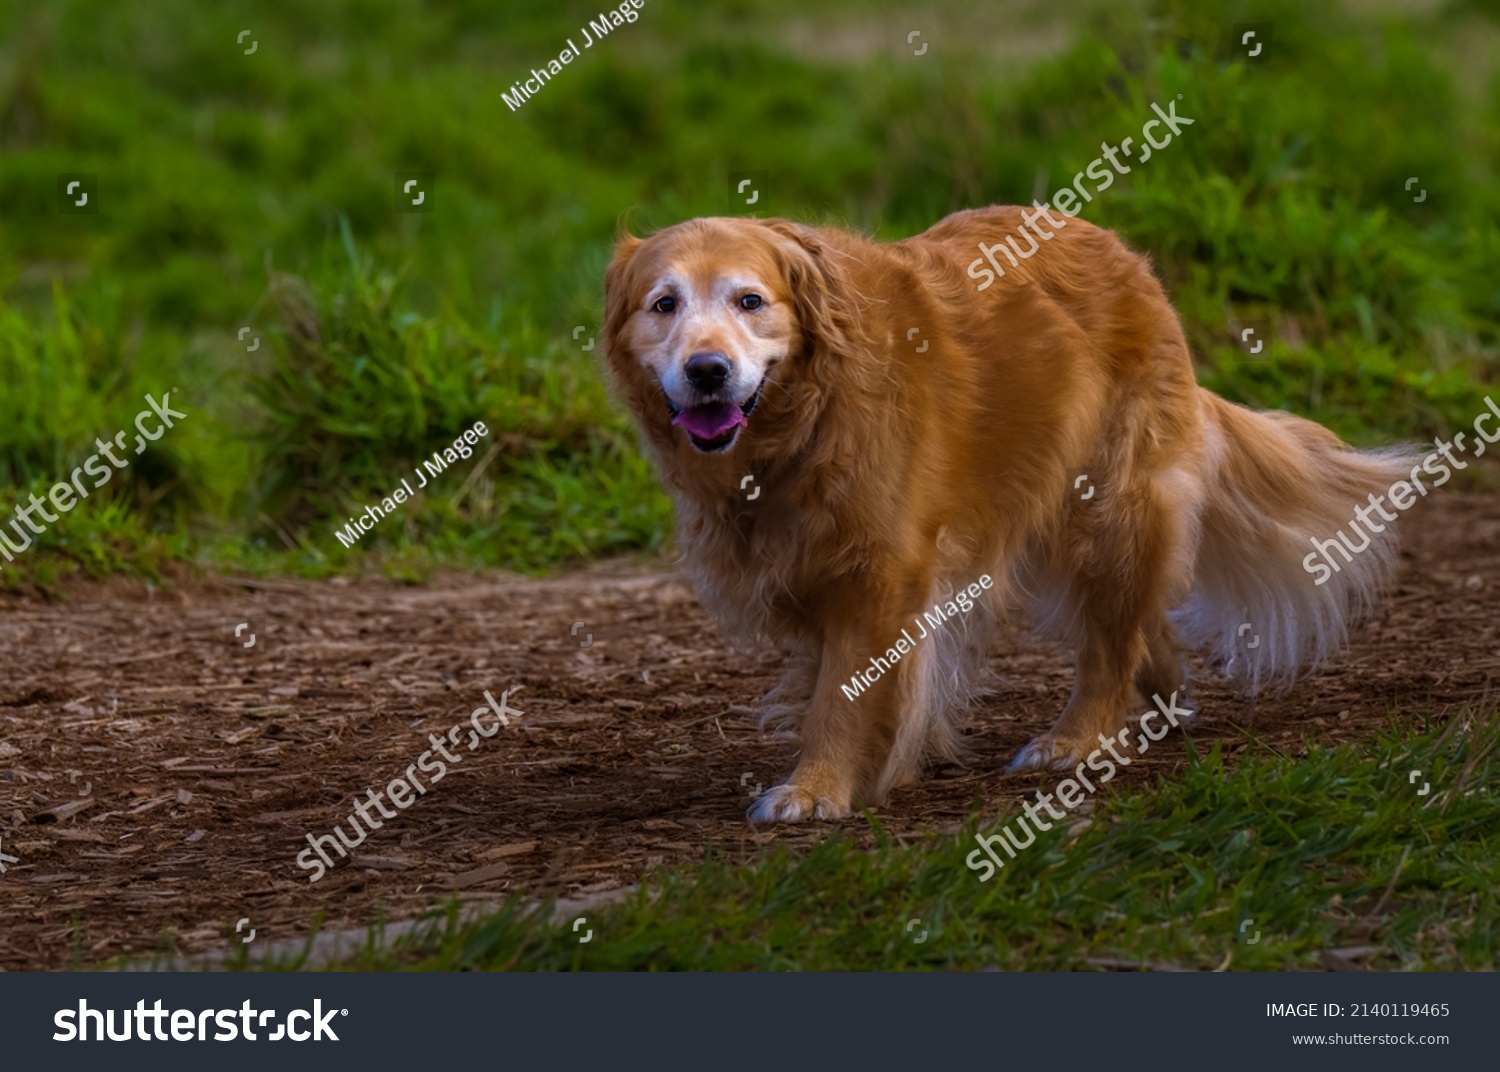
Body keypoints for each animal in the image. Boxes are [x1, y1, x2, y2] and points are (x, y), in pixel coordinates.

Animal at [600, 211, 1416, 827]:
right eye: (664, 304)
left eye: (750, 300)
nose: (707, 371)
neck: (805, 420)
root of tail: (1128, 259)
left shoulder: (882, 571)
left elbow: (842, 695)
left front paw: (817, 788)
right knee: (1141, 629)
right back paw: (1160, 699)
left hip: (1107, 510)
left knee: (1109, 644)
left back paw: (1074, 739)